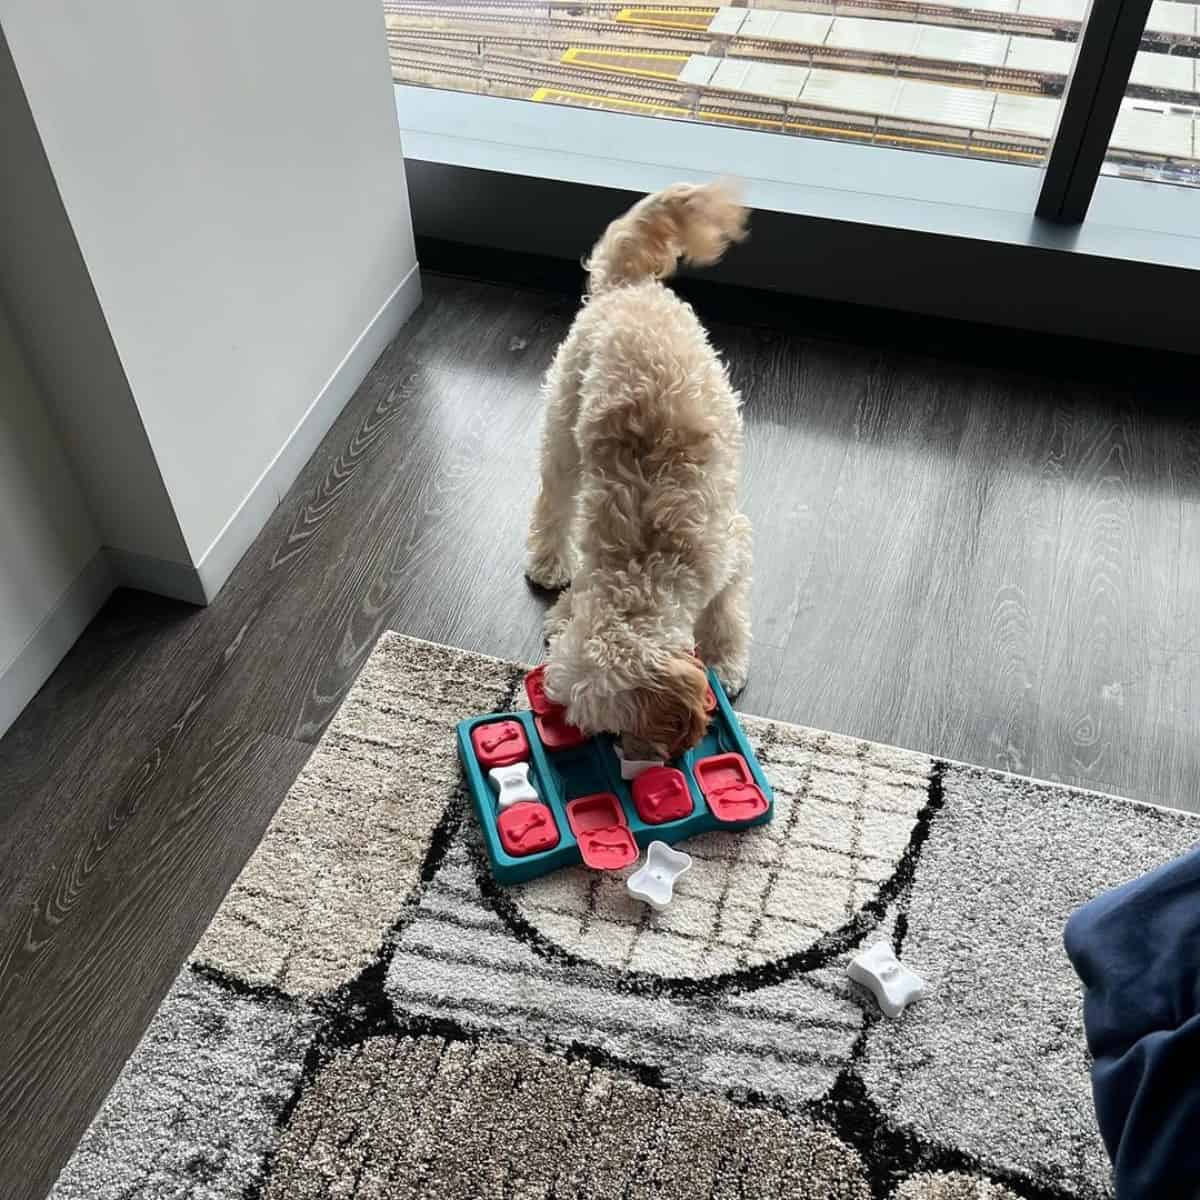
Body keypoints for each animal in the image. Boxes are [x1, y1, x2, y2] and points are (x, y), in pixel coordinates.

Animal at [525, 181, 748, 753]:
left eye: (615, 729)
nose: (636, 759)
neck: (647, 561)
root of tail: (626, 286)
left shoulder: (734, 548)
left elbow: (727, 612)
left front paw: (724, 659)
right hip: (565, 420)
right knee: (553, 498)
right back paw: (549, 560)